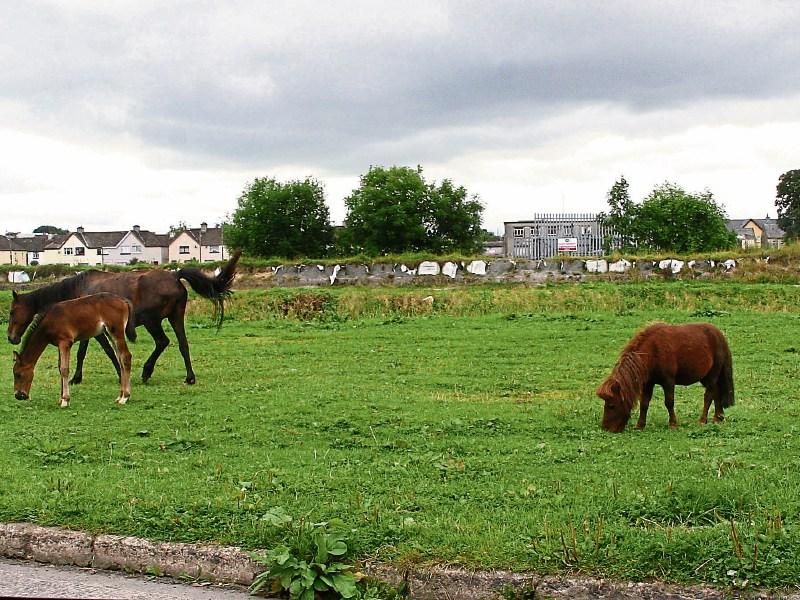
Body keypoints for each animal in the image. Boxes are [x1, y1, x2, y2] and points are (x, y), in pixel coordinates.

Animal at [8, 250, 240, 385]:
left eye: (11, 312)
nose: (11, 337)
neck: (78, 290)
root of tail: (174, 275)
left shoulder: (97, 332)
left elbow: (107, 352)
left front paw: (116, 374)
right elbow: (83, 353)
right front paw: (77, 377)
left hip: (152, 321)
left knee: (162, 342)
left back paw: (147, 371)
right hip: (175, 317)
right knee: (183, 344)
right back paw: (189, 377)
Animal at [596, 322, 734, 432]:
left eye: (611, 405)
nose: (606, 428)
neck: (652, 352)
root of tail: (720, 336)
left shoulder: (668, 381)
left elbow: (669, 402)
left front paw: (673, 424)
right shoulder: (648, 383)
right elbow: (644, 403)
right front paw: (640, 425)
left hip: (712, 375)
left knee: (708, 396)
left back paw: (702, 420)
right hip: (704, 377)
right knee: (717, 392)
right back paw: (718, 418)